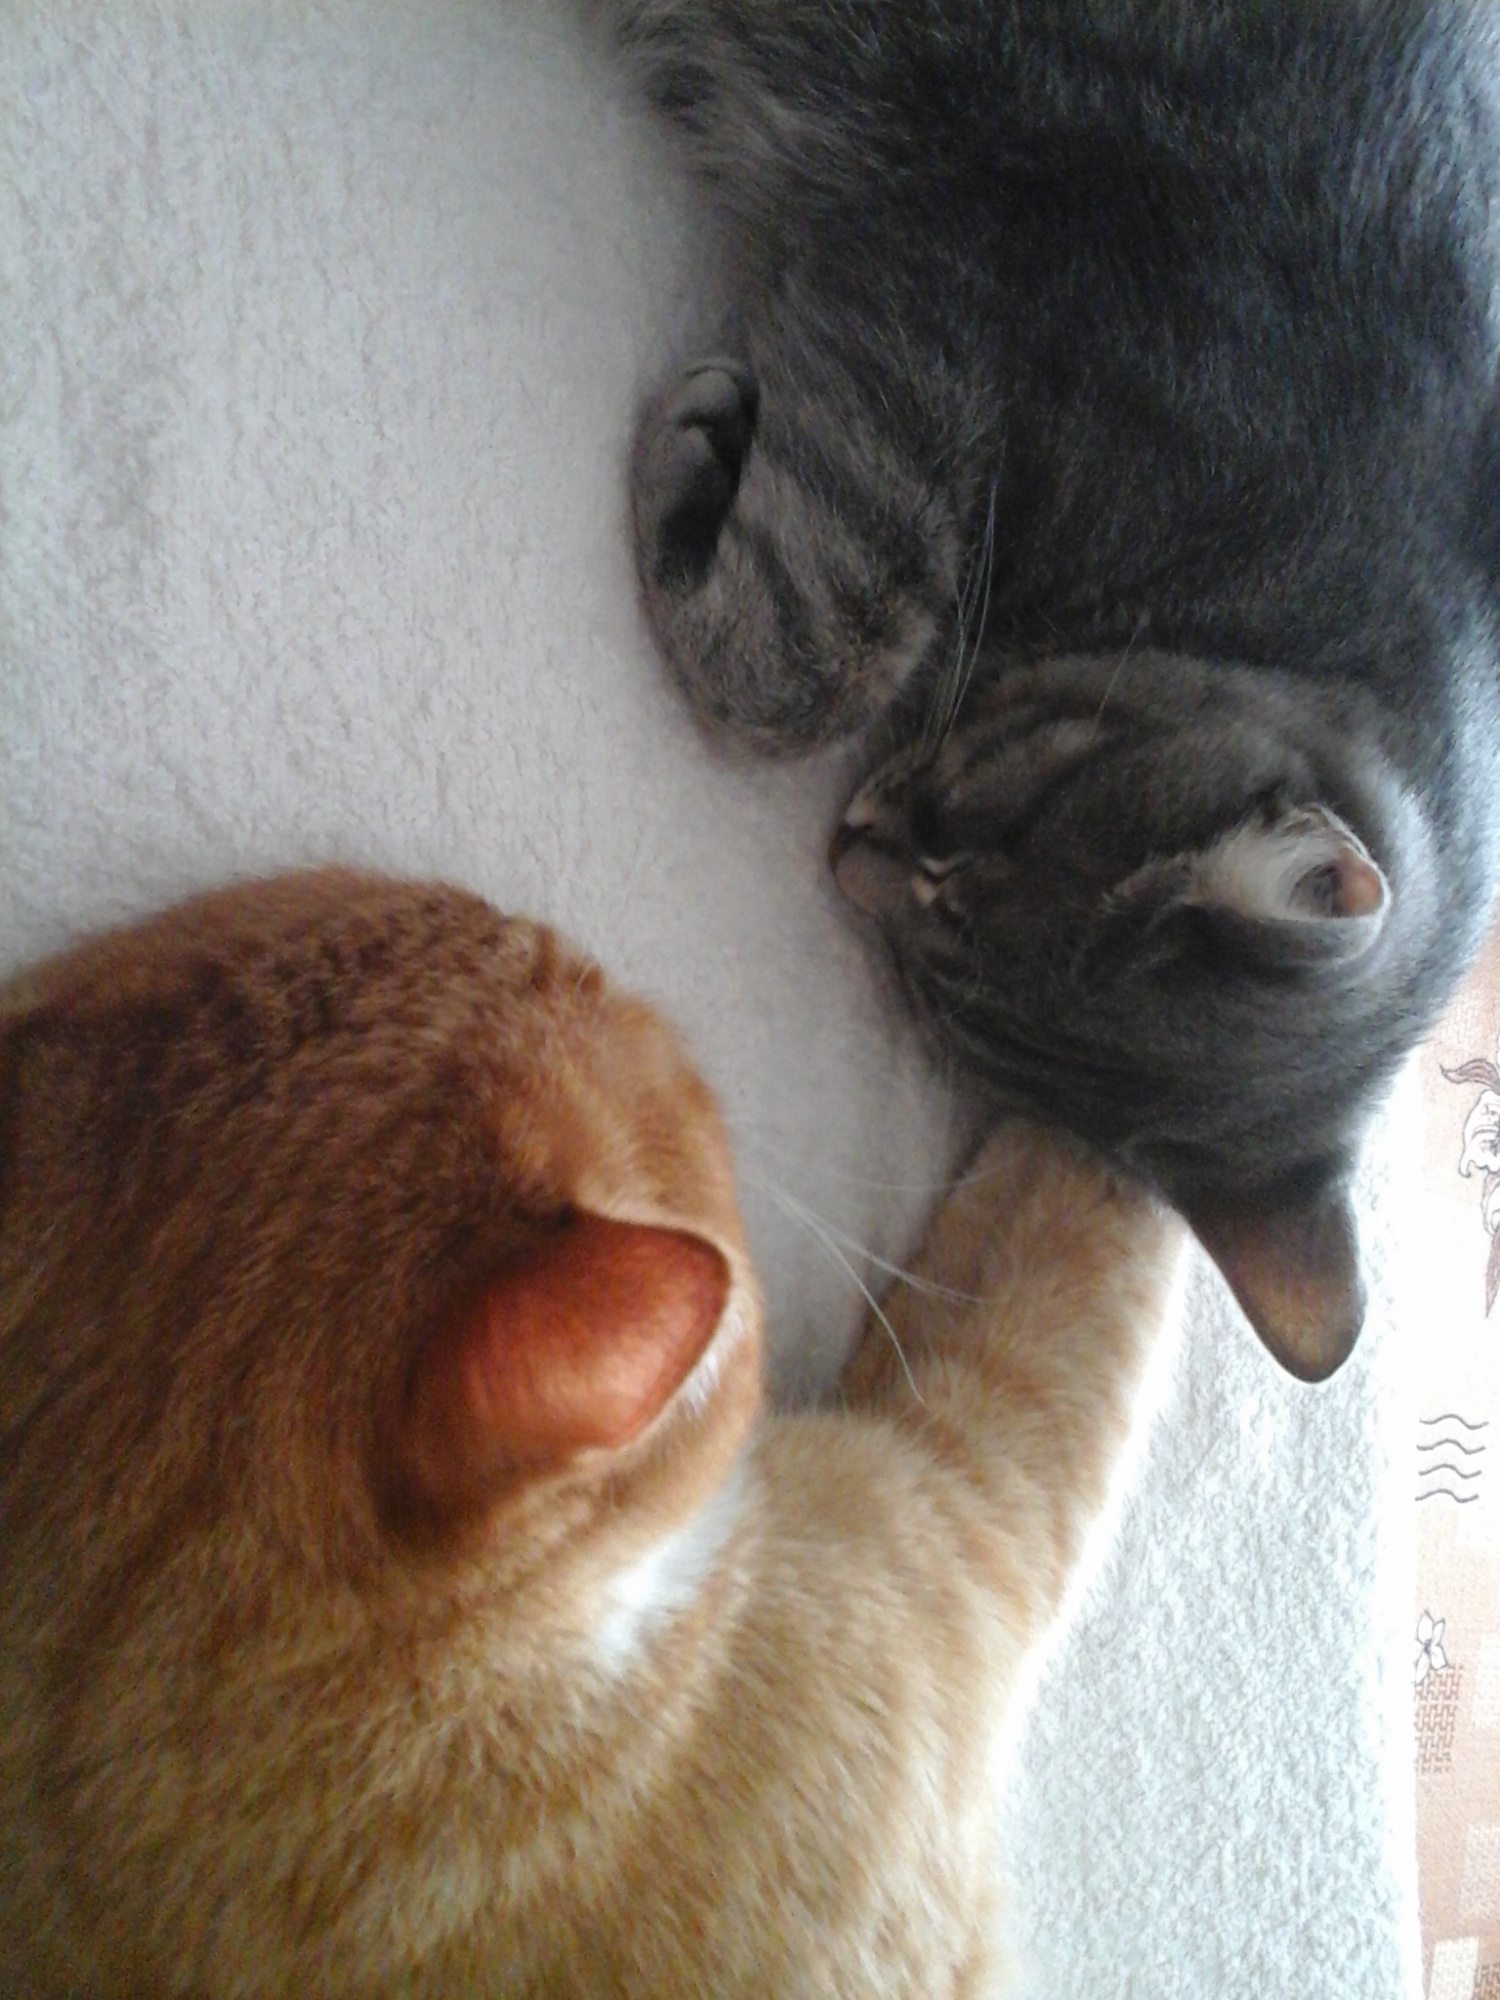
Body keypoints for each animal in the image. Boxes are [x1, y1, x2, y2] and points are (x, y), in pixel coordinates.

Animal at [605, 0, 1500, 1380]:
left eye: (940, 989)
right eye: (985, 828)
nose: (843, 846)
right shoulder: (951, 298)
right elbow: (818, 648)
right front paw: (700, 458)